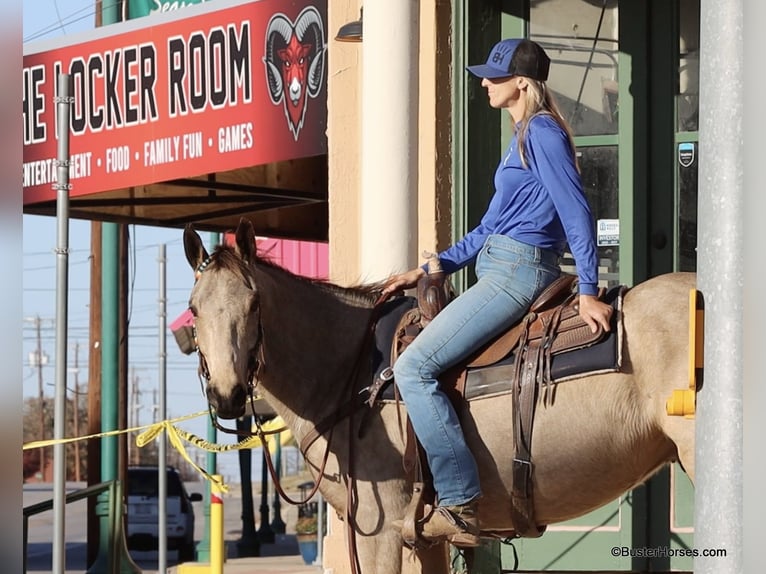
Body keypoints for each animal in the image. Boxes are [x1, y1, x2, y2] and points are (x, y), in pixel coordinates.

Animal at [183, 219, 696, 574]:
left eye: (254, 303)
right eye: (194, 308)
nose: (226, 394)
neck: (352, 373)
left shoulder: (379, 531)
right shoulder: (423, 536)